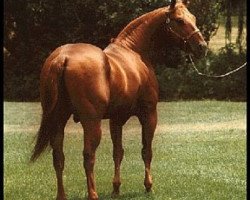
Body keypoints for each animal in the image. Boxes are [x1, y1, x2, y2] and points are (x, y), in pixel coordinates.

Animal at [30, 0, 207, 199]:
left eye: (193, 18)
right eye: (179, 20)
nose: (202, 46)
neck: (134, 51)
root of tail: (63, 57)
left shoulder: (116, 119)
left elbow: (118, 152)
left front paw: (116, 188)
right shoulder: (149, 114)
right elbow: (146, 151)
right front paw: (148, 186)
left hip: (58, 120)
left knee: (58, 157)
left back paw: (62, 195)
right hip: (91, 122)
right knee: (88, 156)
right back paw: (93, 194)